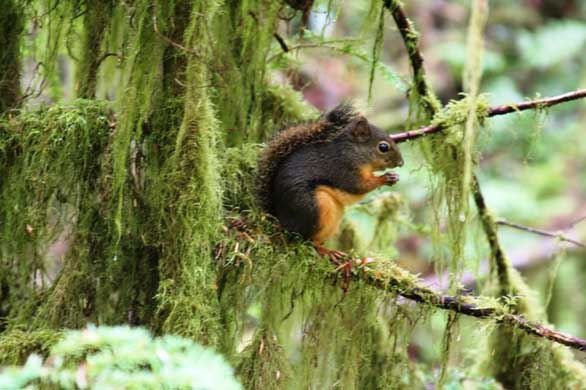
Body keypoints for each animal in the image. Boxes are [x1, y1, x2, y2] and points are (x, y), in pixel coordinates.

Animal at [256, 103, 402, 244]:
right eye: (383, 147)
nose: (401, 163)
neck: (353, 152)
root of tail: (280, 219)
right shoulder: (343, 168)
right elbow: (358, 186)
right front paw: (385, 178)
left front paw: (393, 176)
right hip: (314, 207)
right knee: (305, 237)